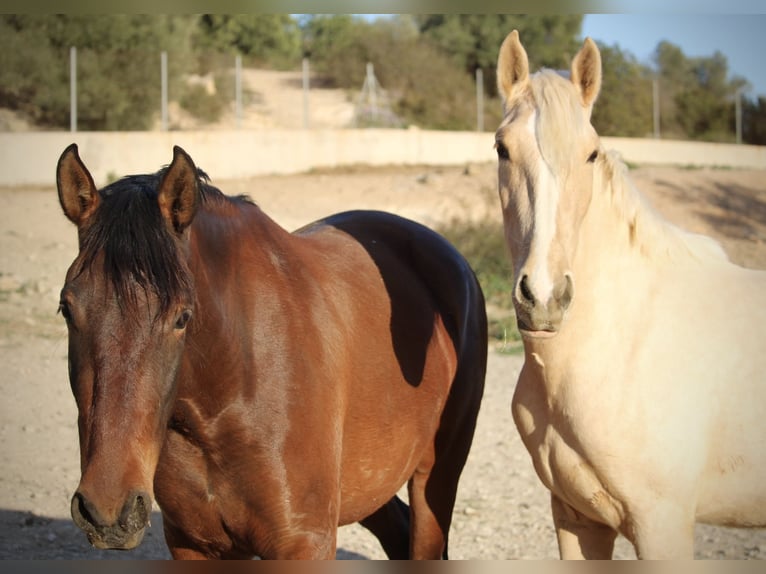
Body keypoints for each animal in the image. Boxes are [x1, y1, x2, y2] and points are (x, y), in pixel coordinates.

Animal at [54, 145, 488, 564]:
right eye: (66, 309)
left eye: (182, 317)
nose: (109, 512)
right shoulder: (195, 544)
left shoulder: (305, 543)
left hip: (435, 478)